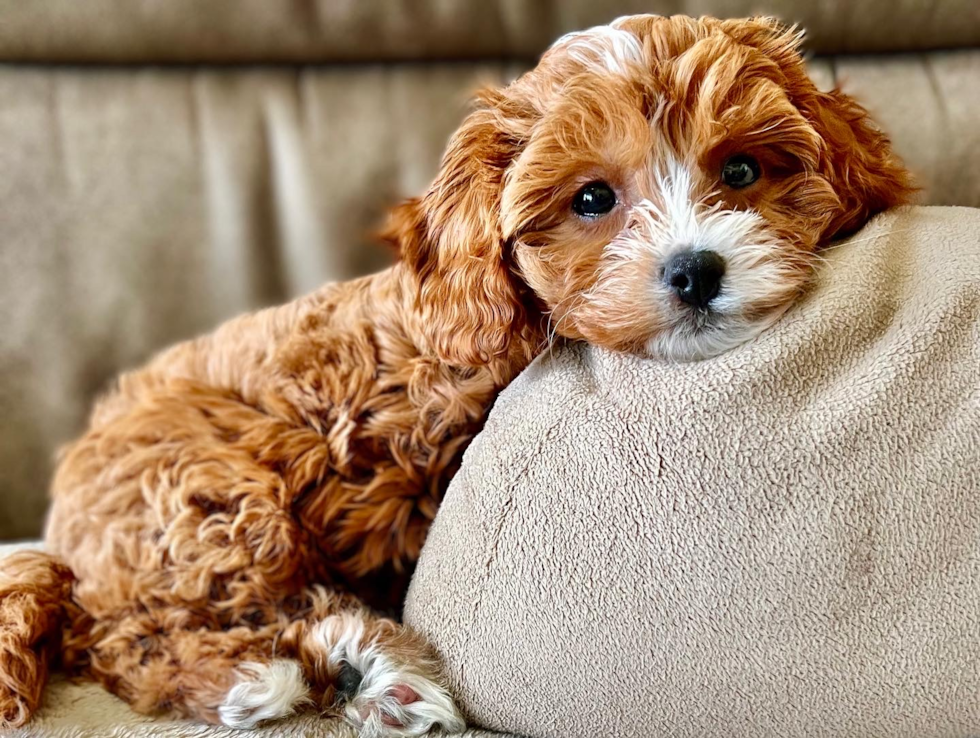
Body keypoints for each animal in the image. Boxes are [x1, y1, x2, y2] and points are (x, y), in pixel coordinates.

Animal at [0, 12, 912, 736]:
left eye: (743, 172)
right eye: (592, 199)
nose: (695, 270)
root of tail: (61, 541)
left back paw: (365, 671)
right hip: (205, 495)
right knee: (126, 634)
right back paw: (263, 677)